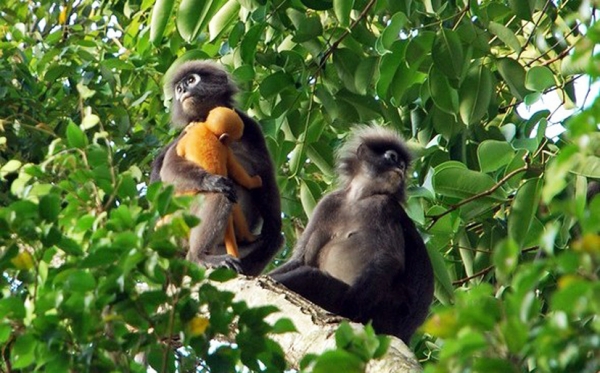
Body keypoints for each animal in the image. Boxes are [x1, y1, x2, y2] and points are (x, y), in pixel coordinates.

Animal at [270, 126, 434, 342]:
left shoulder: (384, 206)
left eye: (404, 166)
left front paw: (347, 305)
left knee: (310, 277)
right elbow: (302, 259)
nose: (400, 167)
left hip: (387, 307)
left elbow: (389, 259)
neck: (359, 197)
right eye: (392, 157)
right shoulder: (328, 204)